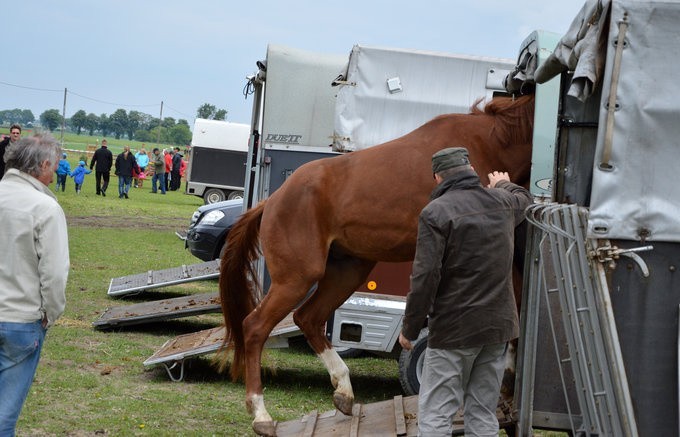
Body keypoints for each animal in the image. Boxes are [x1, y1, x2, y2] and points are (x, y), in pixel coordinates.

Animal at [220, 94, 532, 432]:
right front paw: (508, 379)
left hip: (347, 271)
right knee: (255, 327)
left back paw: (344, 391)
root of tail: (273, 201)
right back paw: (261, 414)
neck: (490, 142)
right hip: (297, 278)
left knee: (309, 318)